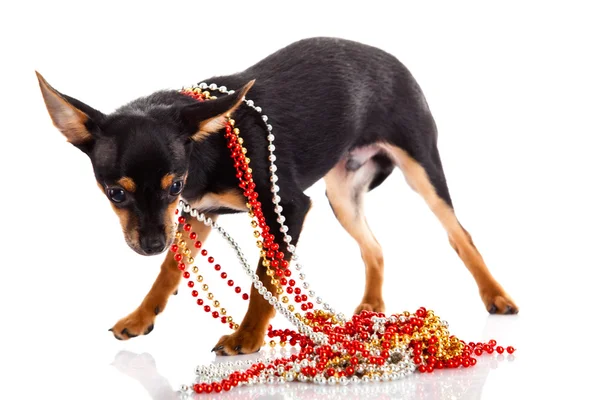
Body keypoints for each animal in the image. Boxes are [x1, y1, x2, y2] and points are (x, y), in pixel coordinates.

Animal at [37, 36, 516, 356]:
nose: (152, 243)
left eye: (174, 185)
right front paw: (141, 317)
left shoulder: (285, 208)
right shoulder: (192, 217)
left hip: (420, 168)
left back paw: (495, 295)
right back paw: (372, 305)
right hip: (342, 194)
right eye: (115, 193)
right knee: (375, 247)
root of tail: (389, 57)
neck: (208, 146)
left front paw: (247, 337)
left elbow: (264, 280)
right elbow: (170, 271)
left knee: (459, 234)